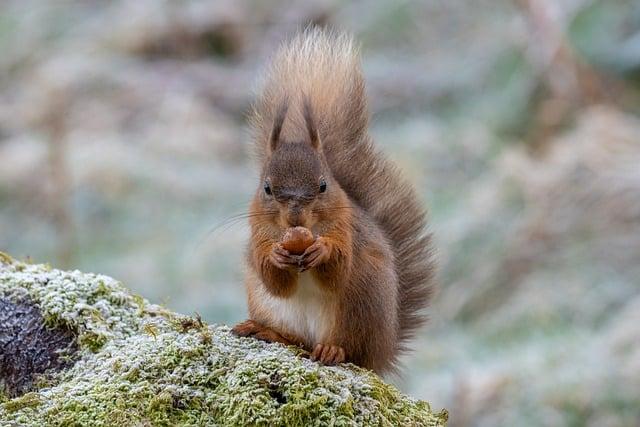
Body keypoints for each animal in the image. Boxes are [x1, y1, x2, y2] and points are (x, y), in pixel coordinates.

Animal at [231, 27, 436, 374]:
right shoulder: (257, 232)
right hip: (269, 305)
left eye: (323, 185)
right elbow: (273, 279)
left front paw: (322, 250)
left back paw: (332, 350)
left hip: (359, 306)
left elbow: (338, 268)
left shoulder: (346, 228)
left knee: (350, 350)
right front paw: (276, 255)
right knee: (297, 340)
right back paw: (268, 332)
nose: (296, 216)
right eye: (267, 188)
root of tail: (383, 351)